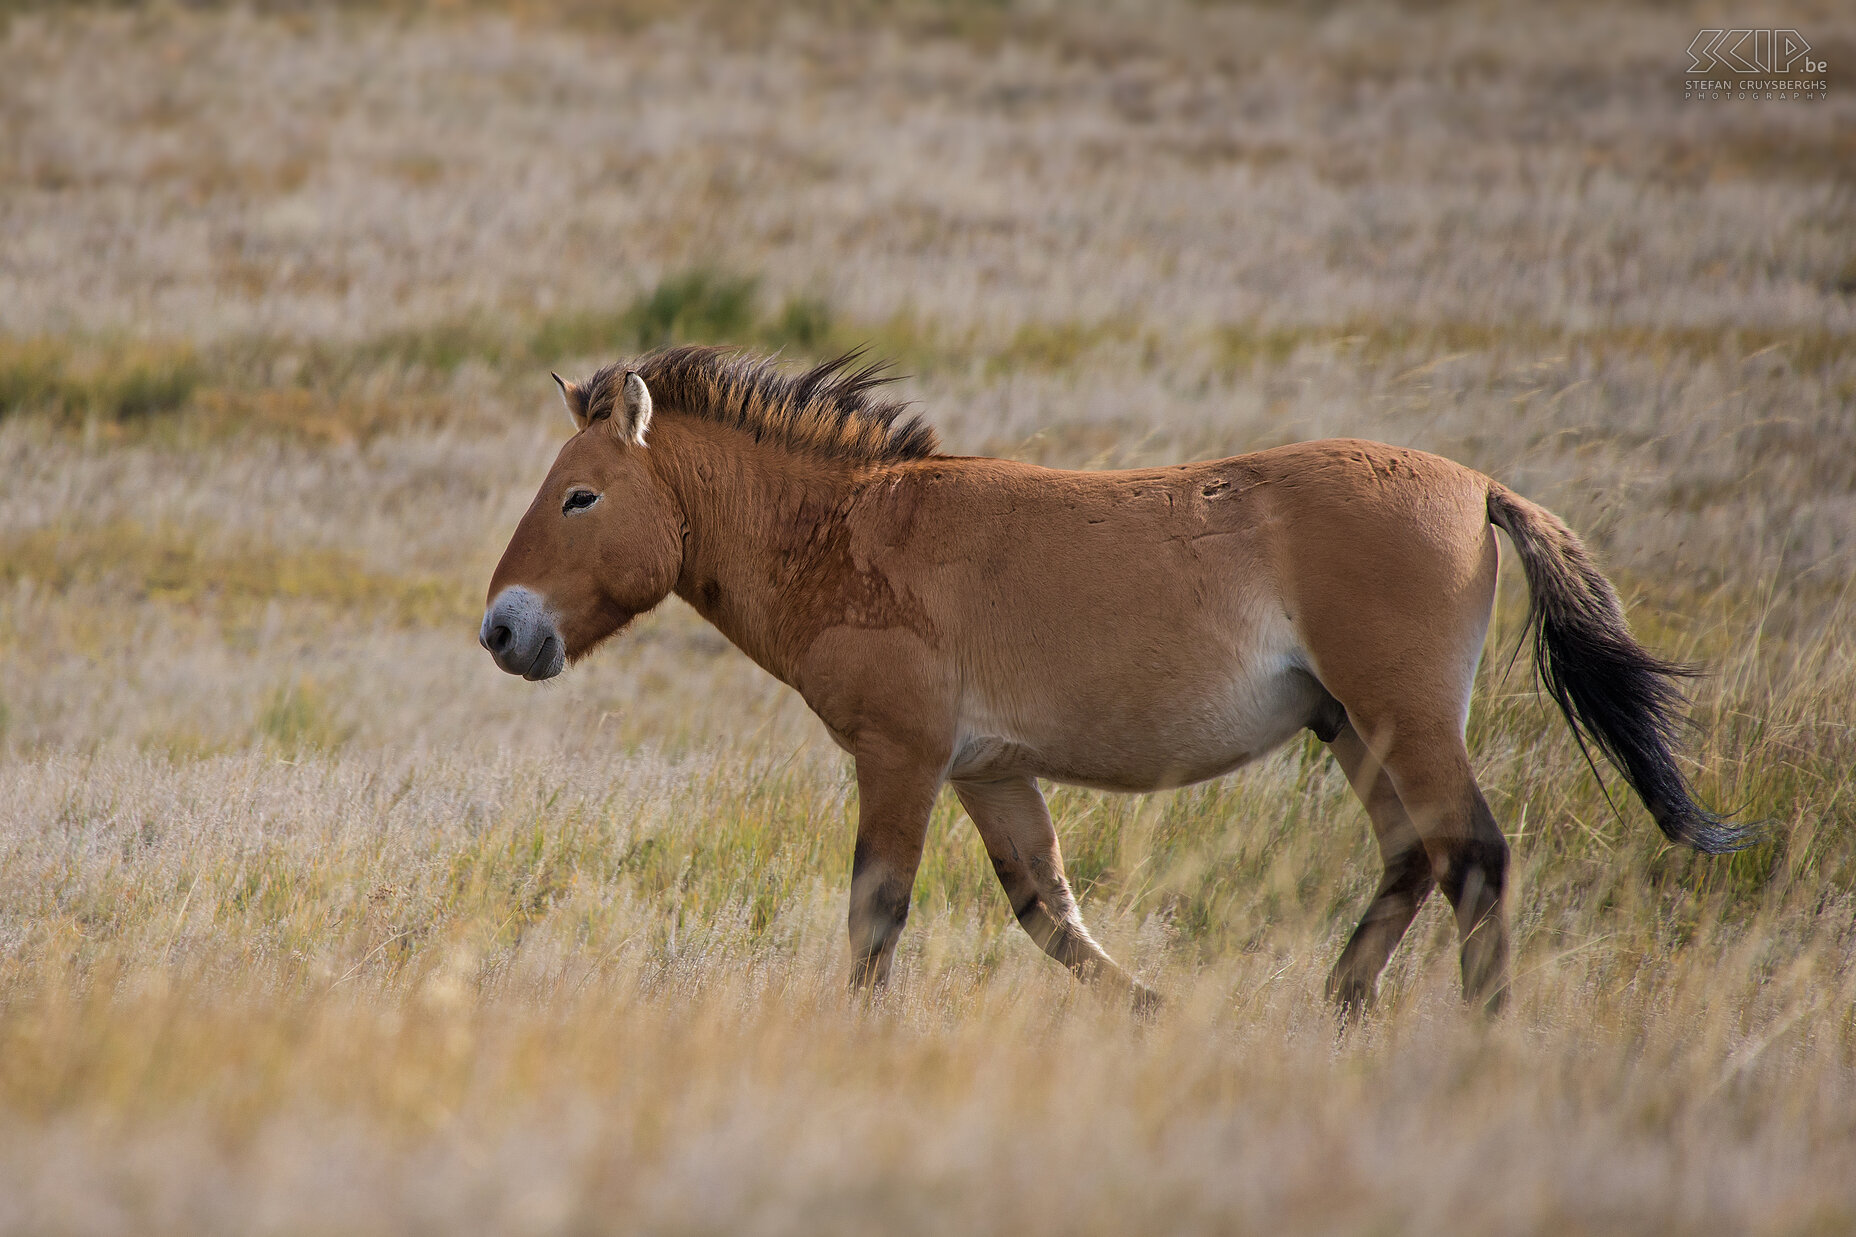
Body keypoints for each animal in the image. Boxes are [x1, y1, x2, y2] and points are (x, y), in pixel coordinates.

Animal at [482, 343, 1752, 1010]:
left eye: (579, 496)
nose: (502, 628)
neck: (851, 535)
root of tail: (1478, 487)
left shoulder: (901, 759)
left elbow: (873, 918)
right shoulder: (987, 772)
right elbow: (1047, 911)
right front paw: (1156, 1011)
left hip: (1404, 720)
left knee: (1473, 860)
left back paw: (1474, 1033)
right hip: (1352, 727)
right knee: (1413, 863)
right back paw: (1331, 1015)